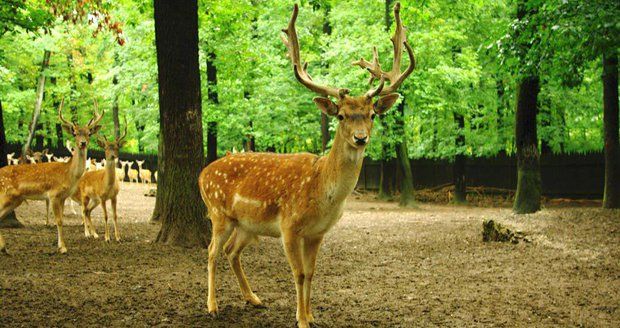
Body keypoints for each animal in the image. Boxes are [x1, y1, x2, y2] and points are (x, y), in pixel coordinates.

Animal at [0, 100, 103, 254]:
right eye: (74, 133)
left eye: (89, 132)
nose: (83, 143)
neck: (68, 174)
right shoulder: (53, 194)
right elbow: (58, 221)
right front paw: (63, 248)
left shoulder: (63, 197)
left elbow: (62, 220)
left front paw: (61, 246)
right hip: (5, 195)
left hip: (16, 199)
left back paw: (4, 248)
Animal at [196, 3, 414, 328]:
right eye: (341, 116)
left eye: (372, 115)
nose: (360, 138)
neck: (322, 193)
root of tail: (202, 173)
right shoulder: (289, 227)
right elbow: (298, 274)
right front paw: (300, 319)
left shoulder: (317, 233)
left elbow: (311, 273)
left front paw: (311, 315)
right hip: (218, 212)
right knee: (211, 251)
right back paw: (212, 306)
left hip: (246, 224)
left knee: (230, 251)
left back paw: (254, 298)